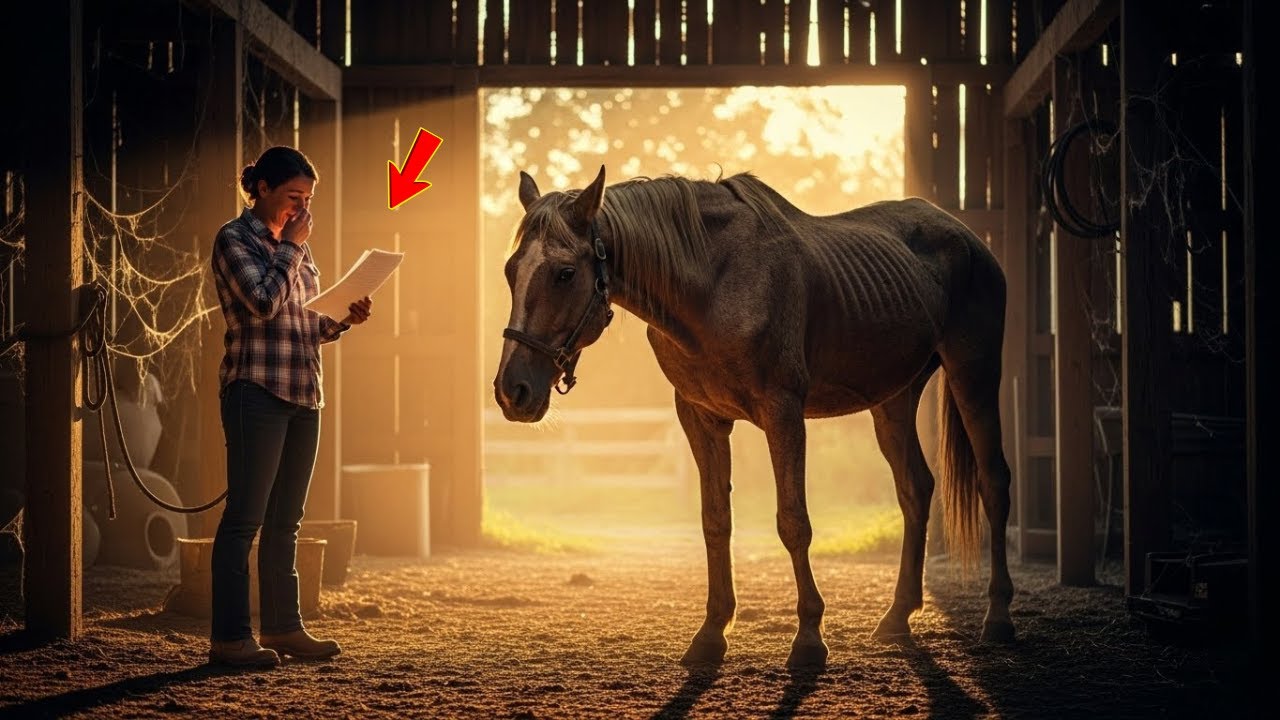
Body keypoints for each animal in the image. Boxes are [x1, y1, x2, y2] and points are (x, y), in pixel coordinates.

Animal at [493, 166, 1015, 667]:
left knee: (993, 482)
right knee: (915, 489)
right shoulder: (700, 418)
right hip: (894, 399)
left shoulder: (783, 412)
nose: (512, 391)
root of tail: (967, 238)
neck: (714, 284)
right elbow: (715, 521)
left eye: (564, 273)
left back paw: (998, 617)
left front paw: (809, 638)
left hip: (974, 373)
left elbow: (793, 522)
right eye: (511, 270)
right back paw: (897, 616)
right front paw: (711, 634)